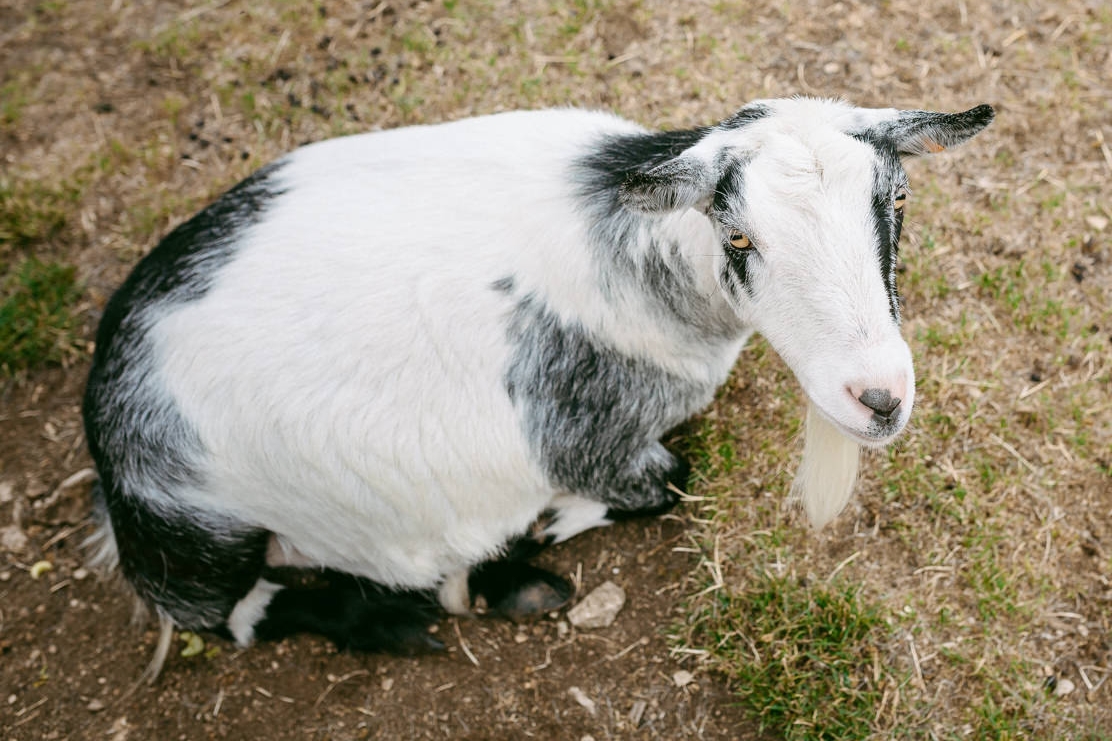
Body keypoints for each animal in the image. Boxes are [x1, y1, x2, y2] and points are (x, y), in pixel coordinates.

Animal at [82, 96, 996, 676]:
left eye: (897, 202)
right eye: (737, 236)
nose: (877, 397)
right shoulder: (586, 437)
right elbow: (672, 478)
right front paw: (546, 524)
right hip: (194, 533)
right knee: (232, 612)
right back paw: (427, 603)